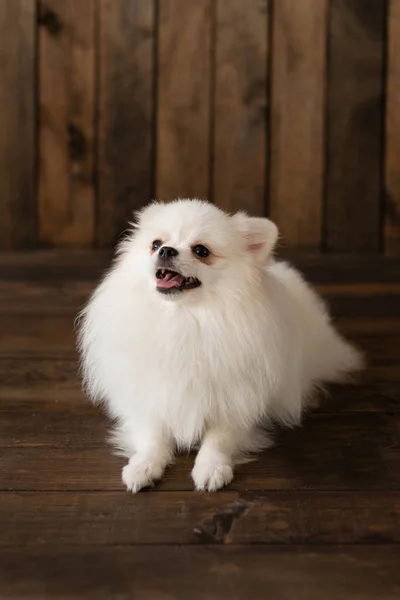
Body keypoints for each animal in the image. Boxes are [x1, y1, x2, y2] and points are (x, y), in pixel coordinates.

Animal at [77, 200, 362, 492]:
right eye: (155, 244)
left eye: (201, 251)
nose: (166, 250)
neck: (183, 320)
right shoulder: (151, 396)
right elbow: (153, 436)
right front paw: (143, 466)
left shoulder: (237, 401)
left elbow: (218, 438)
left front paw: (211, 468)